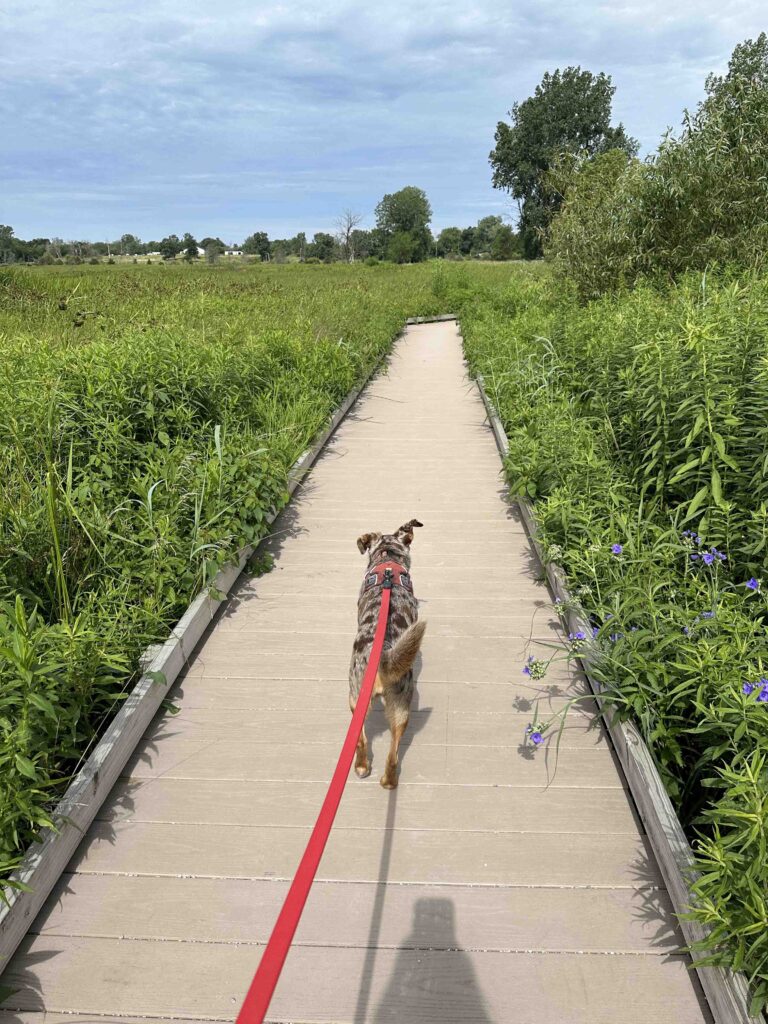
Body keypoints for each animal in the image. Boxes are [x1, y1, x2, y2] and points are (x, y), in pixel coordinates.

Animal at [348, 520, 428, 790]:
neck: (388, 560)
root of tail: (383, 657)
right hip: (401, 708)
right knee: (392, 755)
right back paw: (388, 781)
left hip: (355, 697)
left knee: (362, 741)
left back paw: (362, 767)